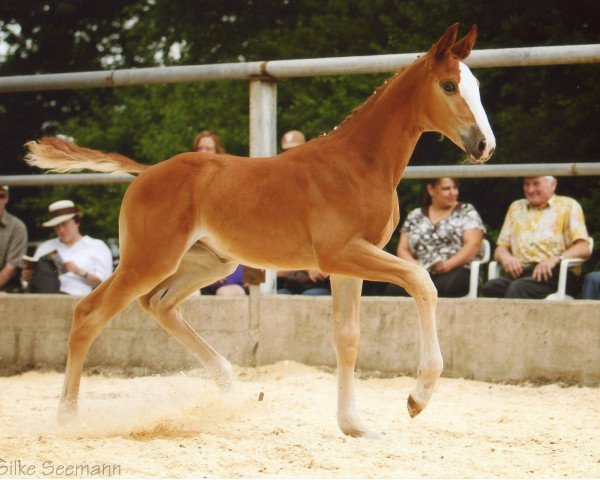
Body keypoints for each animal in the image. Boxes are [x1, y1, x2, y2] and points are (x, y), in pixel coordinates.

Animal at [24, 23, 492, 438]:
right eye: (449, 86)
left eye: (476, 85)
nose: (484, 145)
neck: (359, 163)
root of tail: (145, 172)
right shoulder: (341, 253)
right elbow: (422, 280)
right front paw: (417, 398)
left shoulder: (347, 264)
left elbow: (347, 338)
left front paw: (354, 426)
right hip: (149, 258)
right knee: (89, 313)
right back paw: (67, 419)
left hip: (207, 263)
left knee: (159, 304)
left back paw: (231, 389)